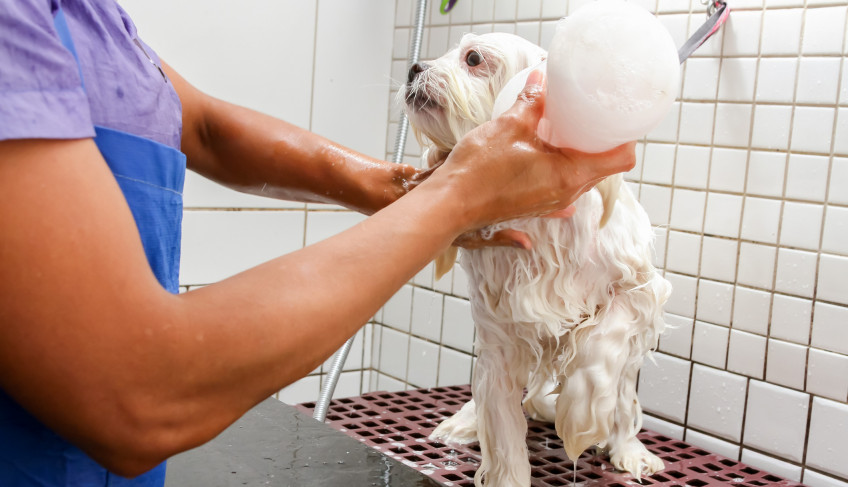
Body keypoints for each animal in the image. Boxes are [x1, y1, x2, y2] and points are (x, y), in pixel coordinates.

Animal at [400, 32, 672, 486]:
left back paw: (629, 449)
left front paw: (581, 412)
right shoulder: (499, 335)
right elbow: (503, 430)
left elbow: (603, 344)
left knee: (622, 399)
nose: (414, 67)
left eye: (473, 58)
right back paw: (464, 422)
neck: (535, 220)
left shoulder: (640, 290)